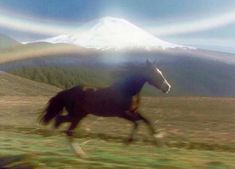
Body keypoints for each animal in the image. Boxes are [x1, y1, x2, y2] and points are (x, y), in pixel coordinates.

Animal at [40, 59, 171, 157]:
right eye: (154, 72)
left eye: (160, 71)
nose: (168, 87)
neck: (127, 91)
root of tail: (68, 91)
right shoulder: (122, 113)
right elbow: (137, 123)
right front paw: (127, 143)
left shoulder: (134, 111)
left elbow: (148, 121)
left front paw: (159, 142)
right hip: (76, 116)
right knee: (67, 129)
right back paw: (79, 153)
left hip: (79, 115)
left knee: (60, 120)